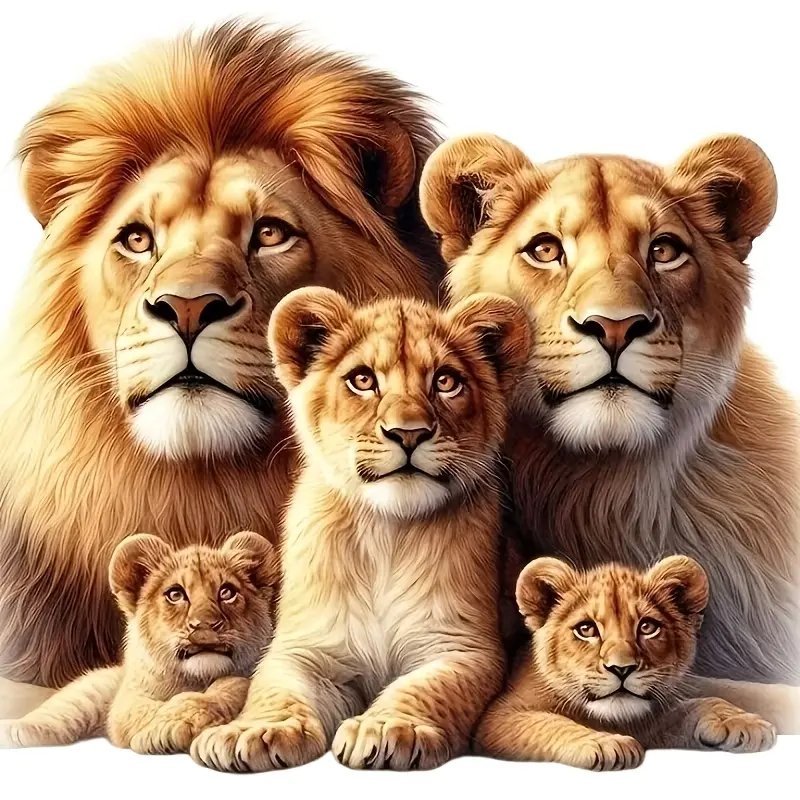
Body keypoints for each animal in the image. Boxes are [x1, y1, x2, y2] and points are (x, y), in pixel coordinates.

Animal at [0, 531, 277, 753]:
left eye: (227, 592)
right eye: (175, 594)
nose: (204, 625)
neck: (197, 679)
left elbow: (233, 686)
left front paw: (178, 723)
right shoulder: (127, 701)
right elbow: (142, 712)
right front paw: (166, 730)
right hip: (88, 693)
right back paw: (13, 730)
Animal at [189, 287, 530, 772]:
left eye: (446, 382)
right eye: (363, 380)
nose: (409, 434)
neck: (386, 532)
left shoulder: (462, 648)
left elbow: (425, 689)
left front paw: (387, 728)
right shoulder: (306, 648)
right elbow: (275, 689)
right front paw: (250, 732)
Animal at [475, 556, 776, 770]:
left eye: (647, 627)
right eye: (586, 629)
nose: (622, 669)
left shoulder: (648, 719)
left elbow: (697, 704)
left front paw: (740, 721)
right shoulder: (500, 717)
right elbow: (548, 723)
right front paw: (604, 743)